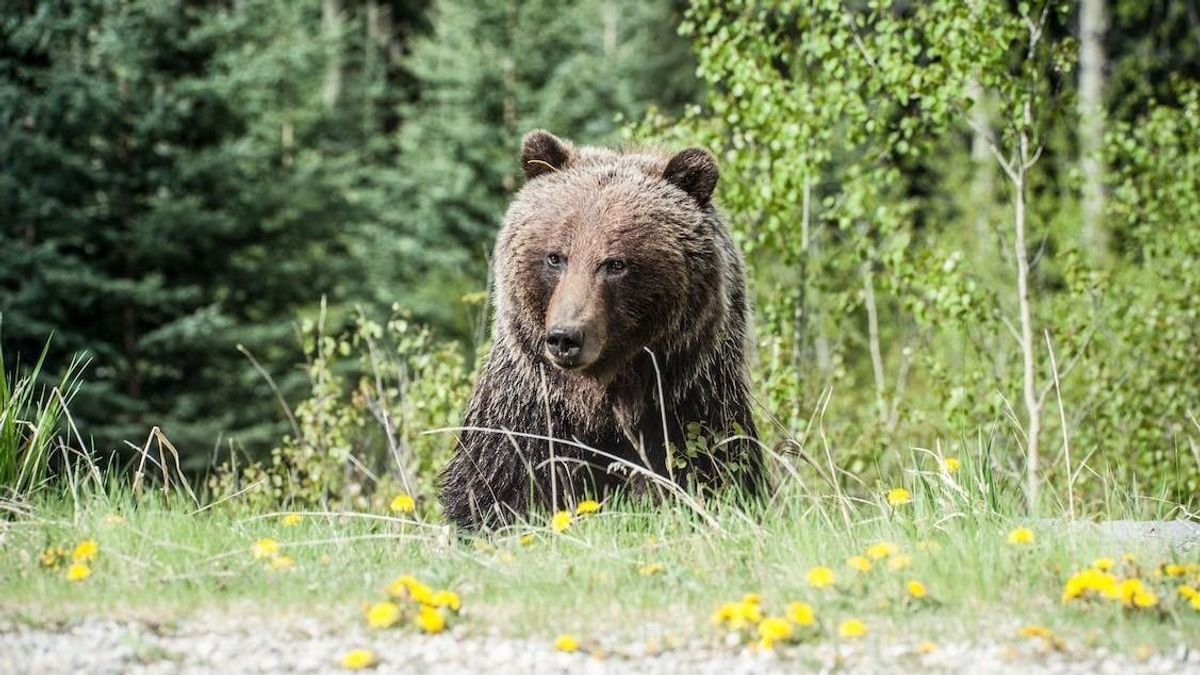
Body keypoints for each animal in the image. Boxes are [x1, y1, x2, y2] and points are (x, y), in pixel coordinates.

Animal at [436, 128, 763, 528]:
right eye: (555, 257)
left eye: (615, 263)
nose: (565, 337)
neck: (602, 399)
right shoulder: (528, 413)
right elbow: (498, 487)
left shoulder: (688, 405)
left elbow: (708, 471)